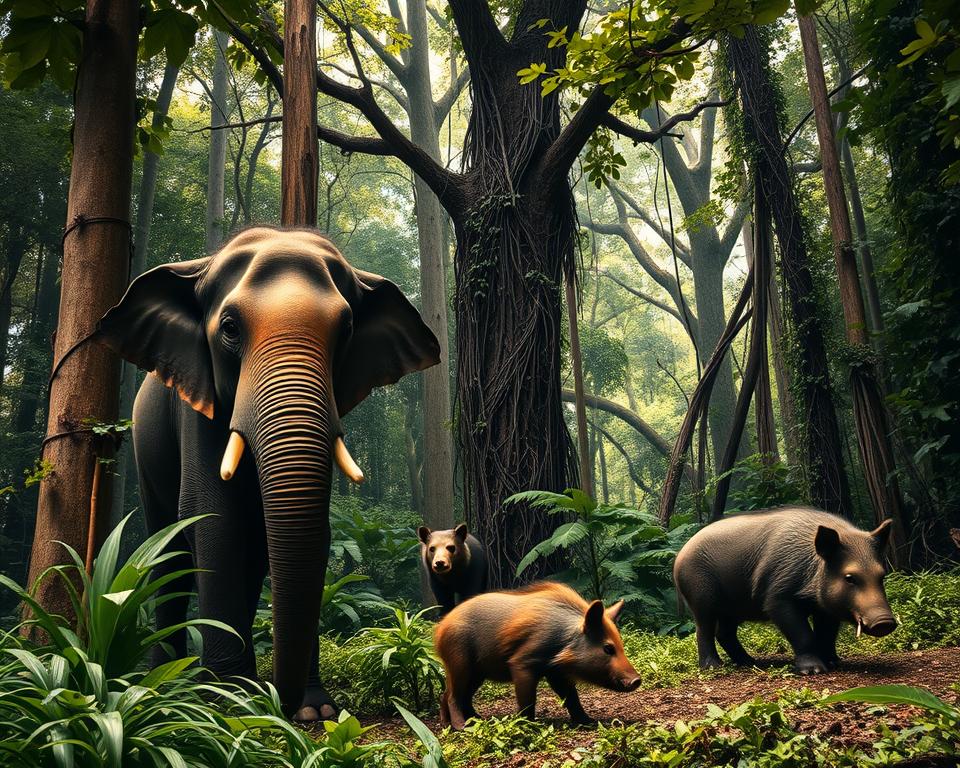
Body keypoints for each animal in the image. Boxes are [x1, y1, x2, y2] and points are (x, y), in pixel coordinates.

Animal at [93, 226, 440, 719]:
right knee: (170, 551)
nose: (283, 702)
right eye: (230, 328)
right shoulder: (197, 406)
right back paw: (164, 685)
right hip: (147, 450)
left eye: (346, 330)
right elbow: (213, 520)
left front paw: (317, 712)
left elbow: (315, 530)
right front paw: (231, 704)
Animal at [433, 581, 641, 729]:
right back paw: (461, 726)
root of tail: (439, 630)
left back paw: (469, 721)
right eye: (608, 648)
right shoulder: (522, 662)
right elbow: (528, 700)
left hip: (476, 673)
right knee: (453, 695)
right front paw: (526, 724)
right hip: (459, 662)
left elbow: (571, 697)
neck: (563, 638)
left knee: (452, 694)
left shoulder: (555, 672)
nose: (637, 679)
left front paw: (588, 721)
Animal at [673, 506, 897, 675]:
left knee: (725, 633)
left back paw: (750, 662)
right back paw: (714, 668)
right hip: (700, 596)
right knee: (704, 629)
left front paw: (833, 663)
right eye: (849, 577)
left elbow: (826, 633)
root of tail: (679, 558)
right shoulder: (777, 597)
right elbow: (802, 634)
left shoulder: (825, 606)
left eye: (882, 575)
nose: (884, 622)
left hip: (733, 608)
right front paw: (814, 671)